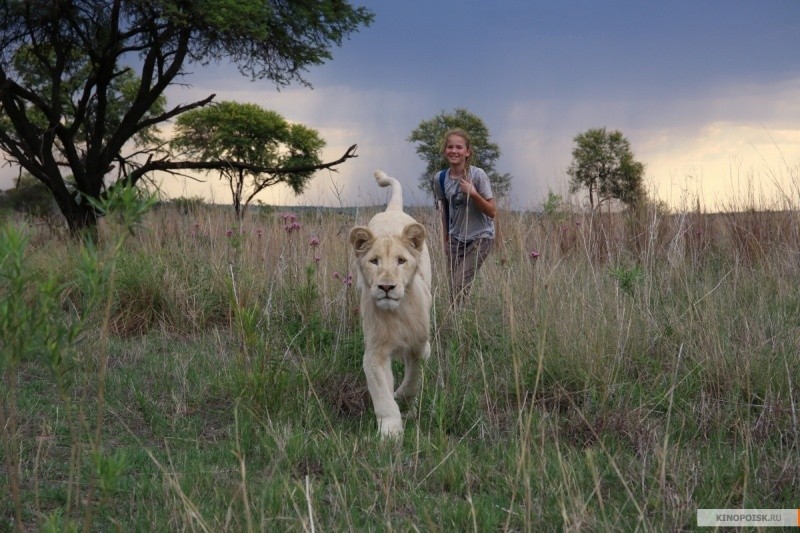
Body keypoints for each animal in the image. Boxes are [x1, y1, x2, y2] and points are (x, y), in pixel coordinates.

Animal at [348, 170, 432, 438]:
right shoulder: (374, 354)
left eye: (401, 261)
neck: (396, 313)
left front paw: (403, 400)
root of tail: (392, 210)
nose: (386, 287)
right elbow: (382, 396)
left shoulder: (420, 347)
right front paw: (390, 433)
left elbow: (413, 380)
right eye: (374, 261)